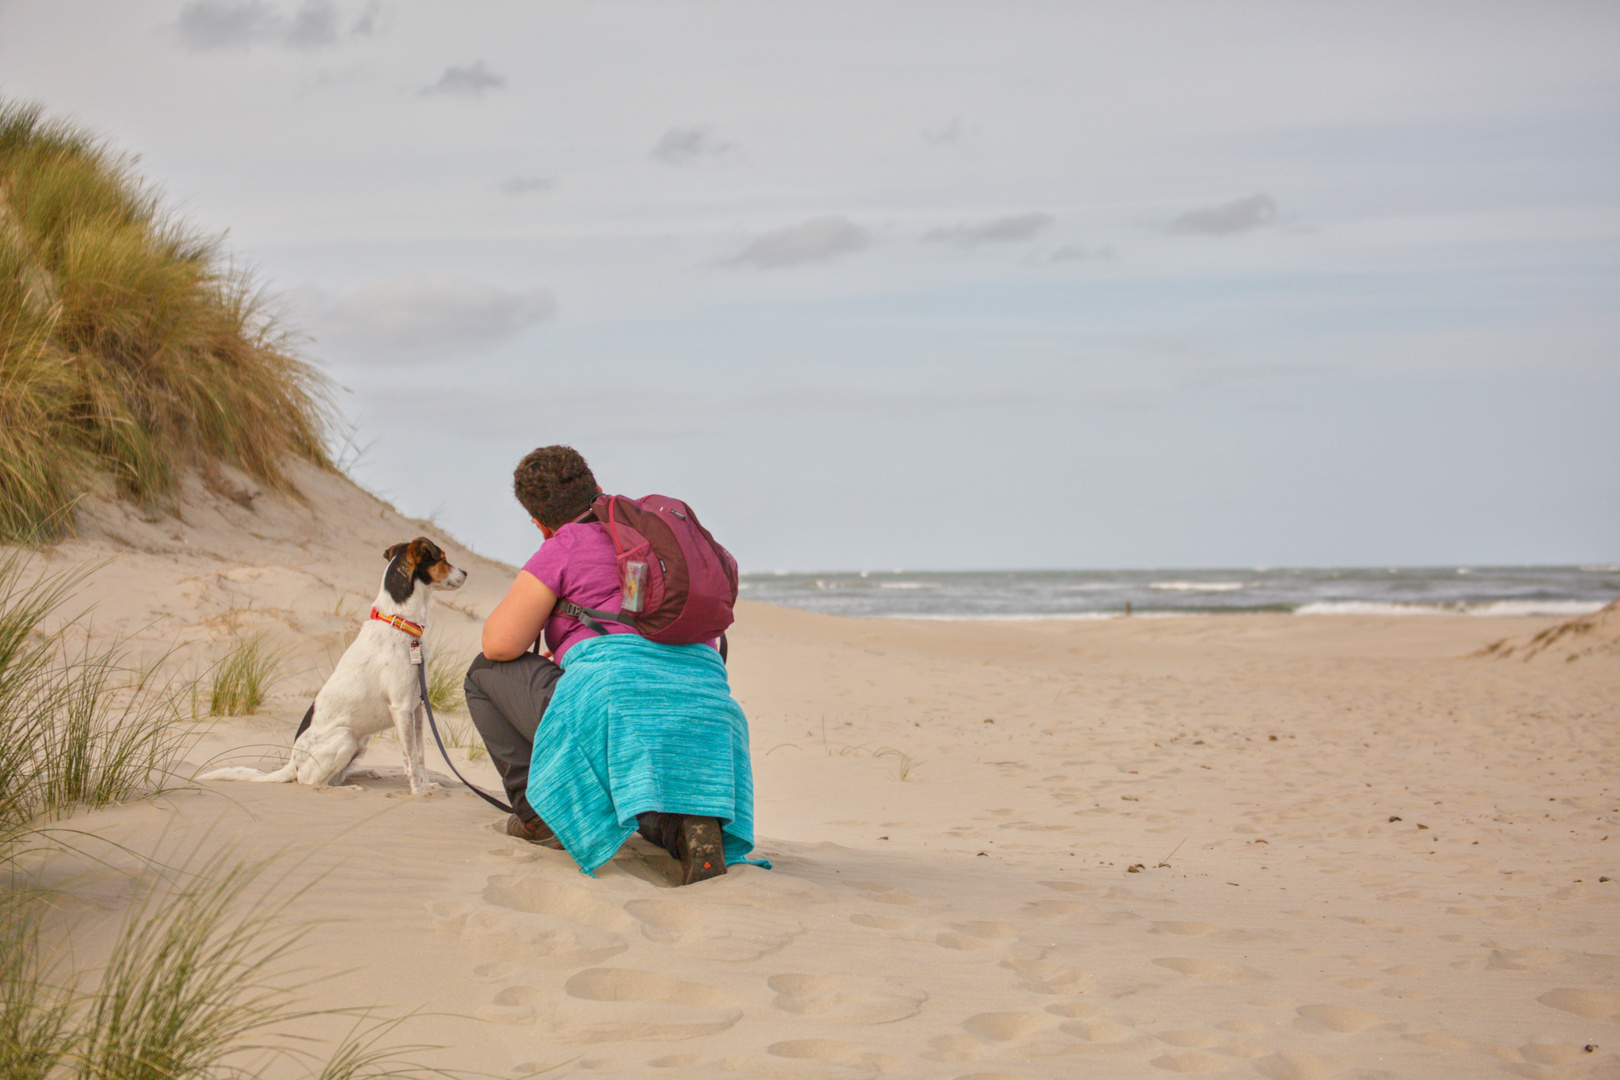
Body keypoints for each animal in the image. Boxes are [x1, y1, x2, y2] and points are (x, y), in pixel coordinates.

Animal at [197, 537, 463, 793]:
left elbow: (420, 757)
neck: (400, 622)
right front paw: (418, 792)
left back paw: (364, 774)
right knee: (311, 782)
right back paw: (351, 787)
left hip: (360, 743)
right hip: (345, 737)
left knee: (335, 777)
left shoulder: (416, 708)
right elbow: (411, 758)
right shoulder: (401, 708)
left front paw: (428, 787)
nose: (466, 572)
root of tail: (292, 763)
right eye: (443, 558)